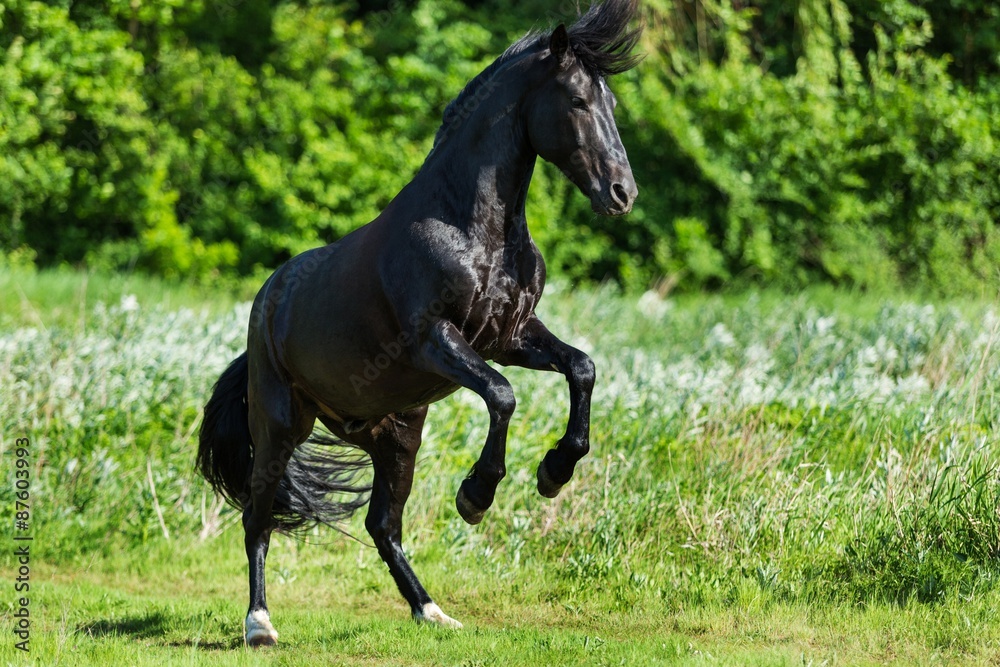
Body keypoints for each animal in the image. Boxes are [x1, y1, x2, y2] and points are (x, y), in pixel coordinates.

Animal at [197, 0, 641, 646]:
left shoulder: (510, 336)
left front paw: (554, 472)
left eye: (610, 103)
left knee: (383, 525)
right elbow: (503, 396)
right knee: (258, 518)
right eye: (579, 101)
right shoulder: (436, 341)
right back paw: (260, 625)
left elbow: (580, 368)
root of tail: (268, 303)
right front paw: (476, 495)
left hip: (395, 434)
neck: (468, 226)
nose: (622, 193)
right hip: (281, 425)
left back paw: (431, 611)